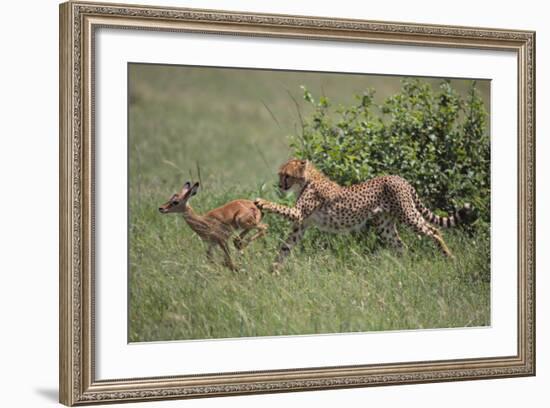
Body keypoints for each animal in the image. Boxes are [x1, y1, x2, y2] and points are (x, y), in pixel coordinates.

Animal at [256, 159, 474, 270]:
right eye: (280, 175)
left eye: (287, 176)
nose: (280, 185)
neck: (307, 179)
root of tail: (399, 178)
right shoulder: (301, 225)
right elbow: (285, 248)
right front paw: (271, 271)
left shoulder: (298, 214)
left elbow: (280, 208)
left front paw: (261, 202)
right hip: (385, 225)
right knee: (401, 245)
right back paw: (403, 268)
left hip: (408, 215)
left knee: (434, 230)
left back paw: (449, 256)